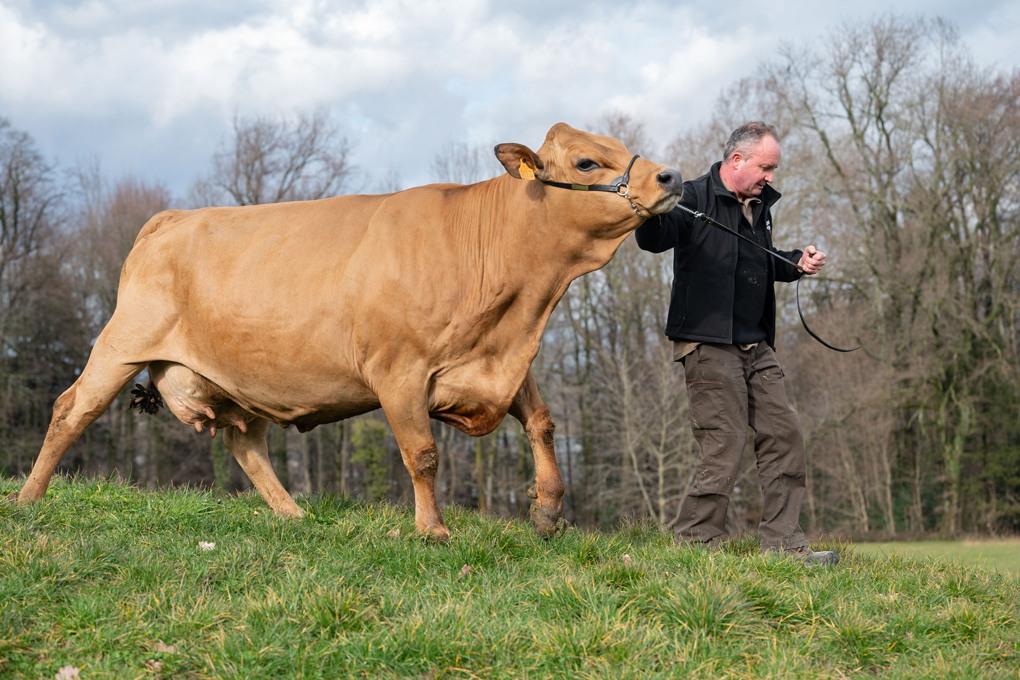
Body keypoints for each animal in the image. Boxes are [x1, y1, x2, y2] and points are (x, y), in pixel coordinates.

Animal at [15, 120, 681, 538]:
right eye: (588, 161)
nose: (670, 177)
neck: (520, 308)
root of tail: (171, 217)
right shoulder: (399, 369)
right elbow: (422, 455)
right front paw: (433, 530)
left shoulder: (500, 360)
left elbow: (542, 423)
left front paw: (546, 512)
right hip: (122, 344)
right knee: (71, 409)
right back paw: (28, 501)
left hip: (241, 380)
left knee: (244, 444)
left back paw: (293, 517)